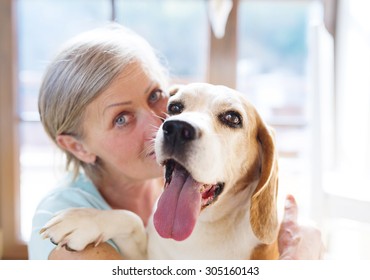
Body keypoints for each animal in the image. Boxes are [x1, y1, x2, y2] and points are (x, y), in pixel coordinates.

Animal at [40, 82, 278, 260]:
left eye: (232, 118)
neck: (202, 227)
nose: (177, 128)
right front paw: (86, 219)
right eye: (174, 108)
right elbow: (131, 218)